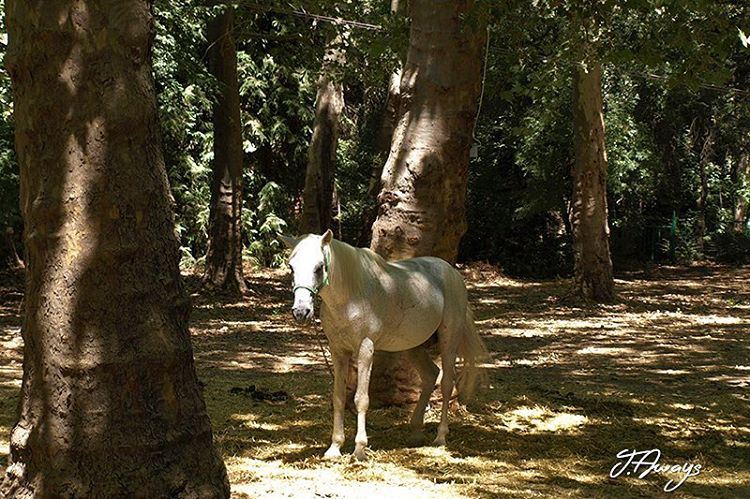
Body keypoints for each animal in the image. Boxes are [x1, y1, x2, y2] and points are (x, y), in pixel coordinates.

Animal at [280, 230, 488, 460]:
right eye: (291, 267)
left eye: (319, 267)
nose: (301, 312)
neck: (351, 297)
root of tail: (452, 273)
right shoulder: (338, 351)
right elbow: (339, 397)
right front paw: (334, 448)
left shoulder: (365, 350)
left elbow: (361, 399)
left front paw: (359, 449)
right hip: (412, 346)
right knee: (430, 375)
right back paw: (415, 432)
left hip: (448, 340)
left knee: (446, 383)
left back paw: (440, 437)